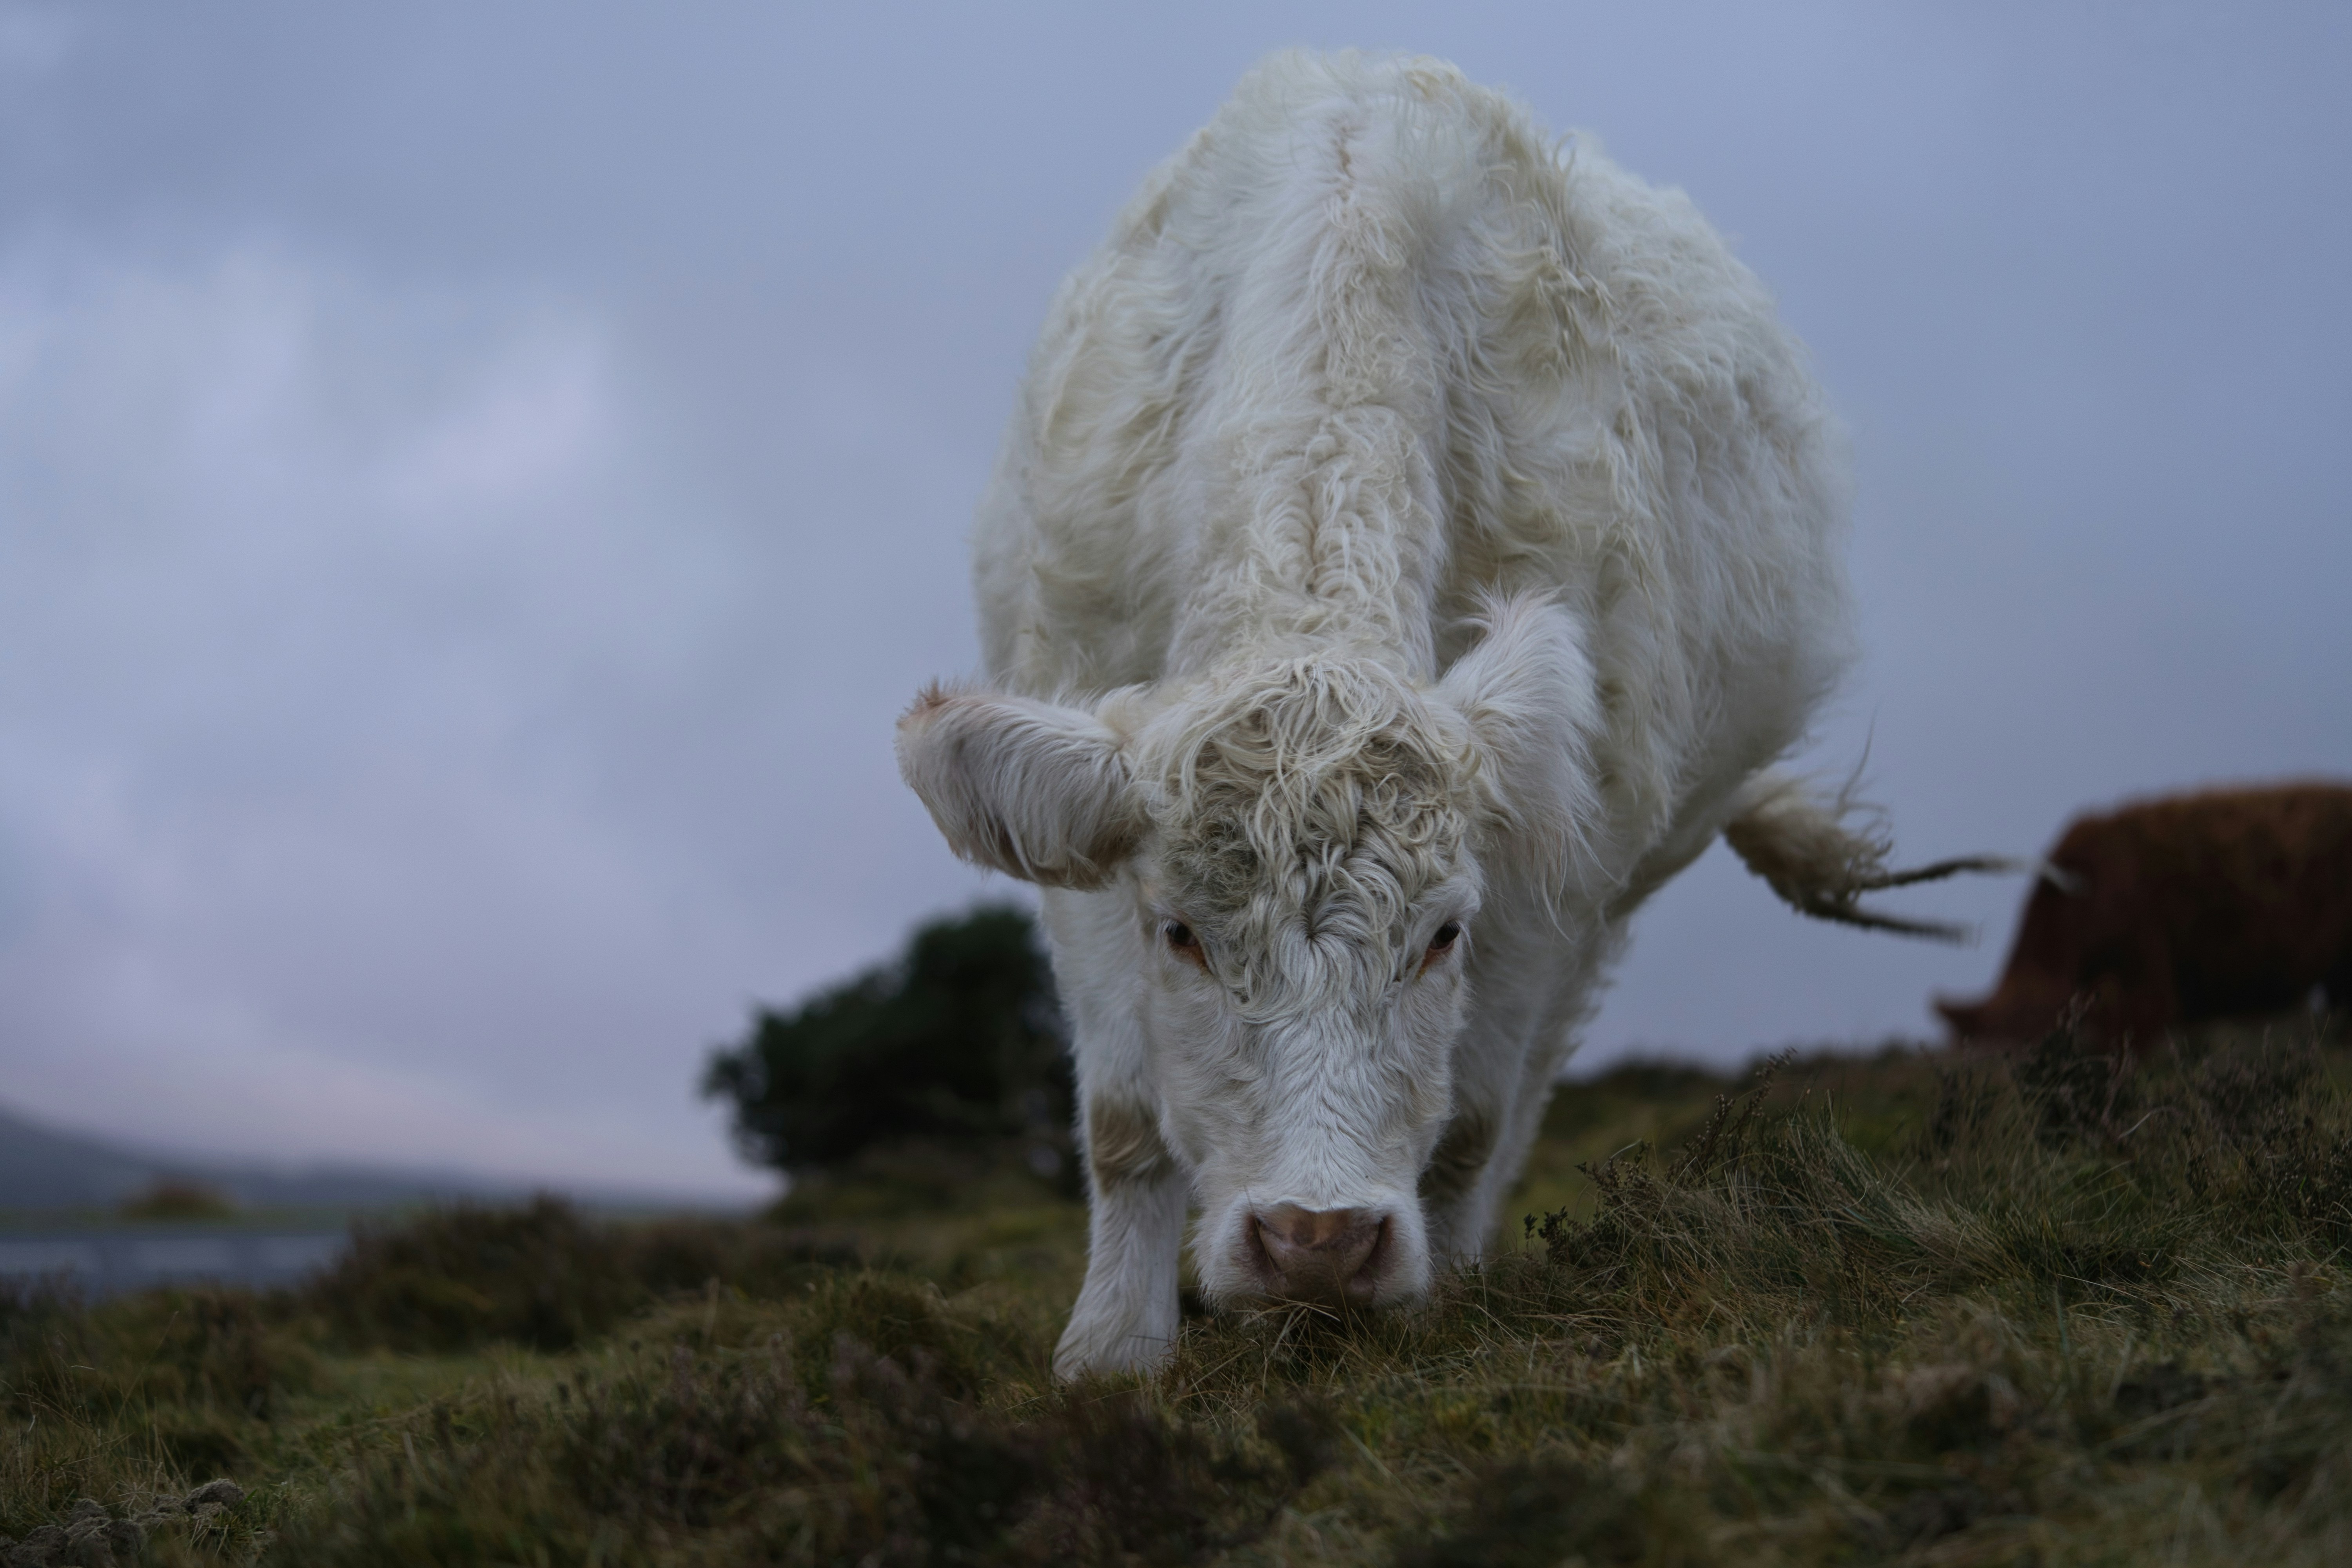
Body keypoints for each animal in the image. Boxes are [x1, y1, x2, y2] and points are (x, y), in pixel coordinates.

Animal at [896, 52, 1976, 1377]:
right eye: (1182, 935)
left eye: (1440, 936)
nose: (1314, 1241)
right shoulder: (1087, 852)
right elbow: (1122, 1124)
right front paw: (1111, 1352)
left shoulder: (1550, 879)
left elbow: (1470, 1118)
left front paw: (1442, 1312)